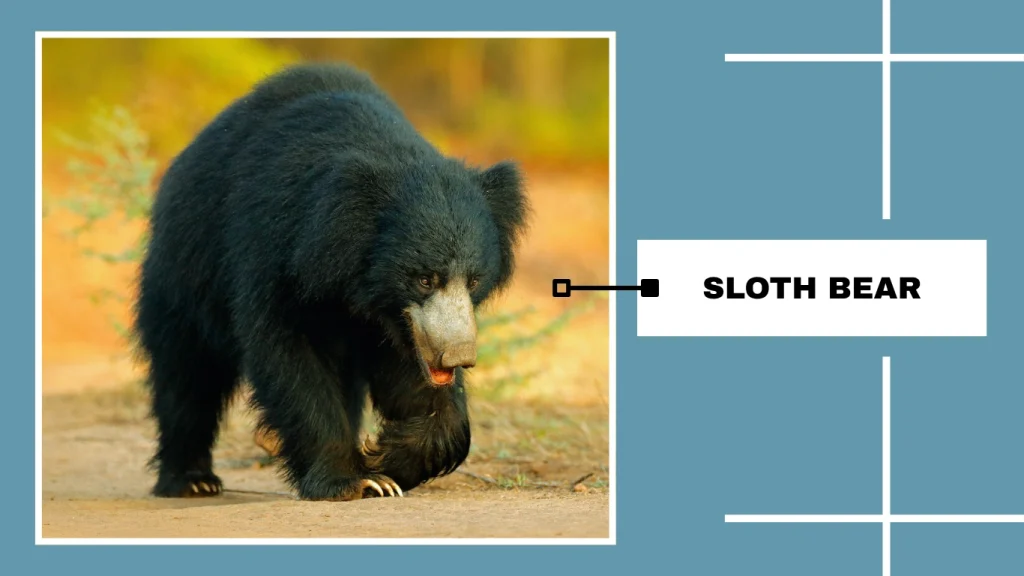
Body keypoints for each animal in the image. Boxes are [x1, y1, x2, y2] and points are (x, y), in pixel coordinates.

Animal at [134, 62, 529, 501]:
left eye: (473, 280)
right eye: (425, 279)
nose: (457, 356)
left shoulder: (398, 321)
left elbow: (412, 373)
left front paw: (386, 457)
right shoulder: (276, 252)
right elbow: (290, 355)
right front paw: (354, 480)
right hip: (183, 277)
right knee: (187, 378)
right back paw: (191, 480)